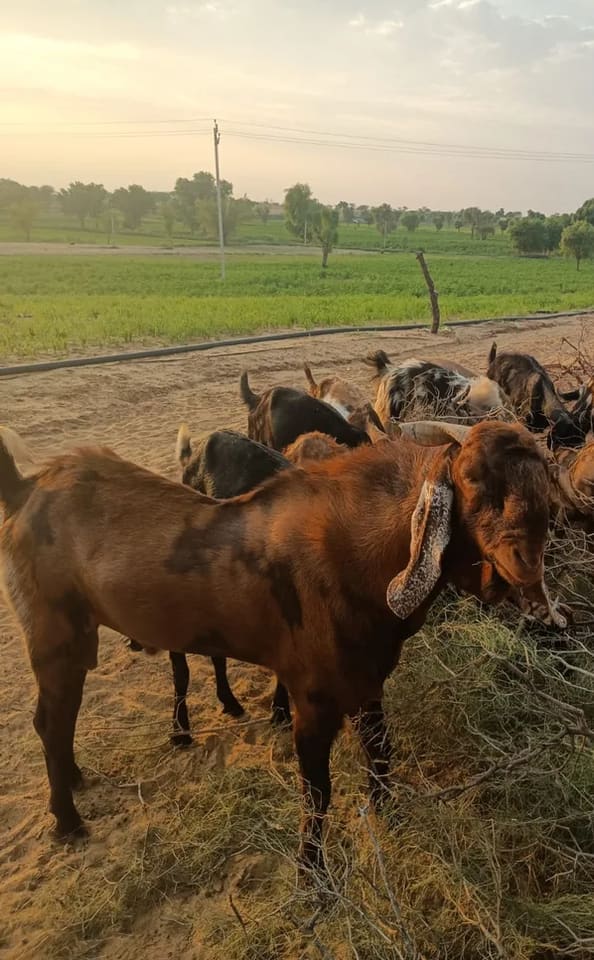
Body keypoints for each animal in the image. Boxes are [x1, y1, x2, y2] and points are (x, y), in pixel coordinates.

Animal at [0, 420, 566, 873]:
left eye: (543, 486)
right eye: (473, 482)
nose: (524, 562)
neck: (356, 555)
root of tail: (27, 488)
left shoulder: (366, 682)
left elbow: (380, 753)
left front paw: (391, 818)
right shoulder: (313, 697)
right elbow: (318, 790)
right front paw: (312, 876)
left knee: (63, 718)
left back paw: (75, 778)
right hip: (54, 633)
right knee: (49, 720)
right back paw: (67, 820)